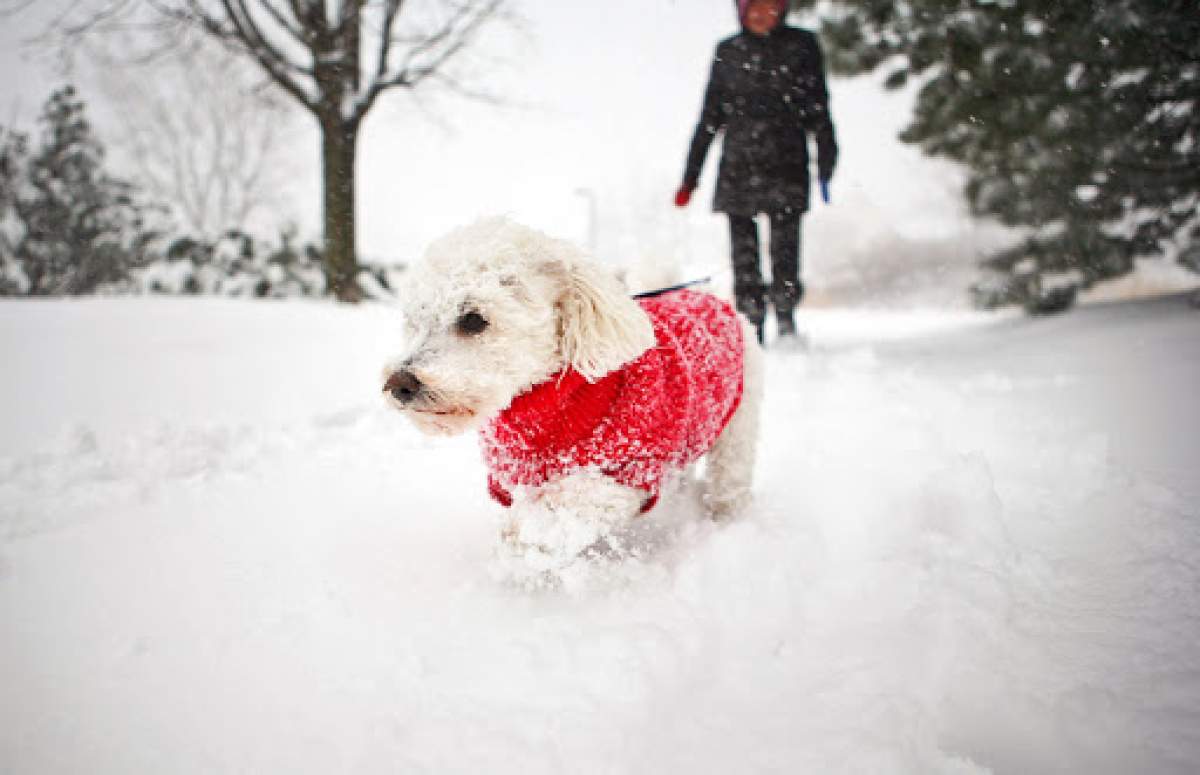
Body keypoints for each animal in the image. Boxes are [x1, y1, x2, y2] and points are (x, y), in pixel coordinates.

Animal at [381, 215, 758, 580]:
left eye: (474, 320)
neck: (545, 407)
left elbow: (550, 519)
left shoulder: (626, 470)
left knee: (729, 482)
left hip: (736, 433)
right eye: (414, 321)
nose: (399, 384)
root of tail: (705, 295)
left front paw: (525, 552)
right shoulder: (510, 481)